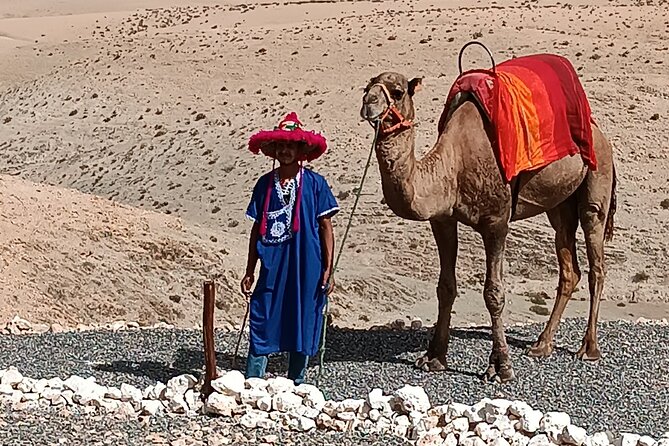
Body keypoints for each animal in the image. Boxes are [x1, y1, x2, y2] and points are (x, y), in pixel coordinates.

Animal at [359, 68, 617, 382]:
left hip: (597, 178)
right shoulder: (442, 220)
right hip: (559, 204)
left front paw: (500, 366)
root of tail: (601, 135)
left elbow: (494, 292)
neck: (454, 166)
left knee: (596, 262)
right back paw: (541, 345)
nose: (368, 104)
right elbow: (445, 287)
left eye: (397, 92)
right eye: (366, 89)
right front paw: (433, 358)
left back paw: (589, 348)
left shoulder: (496, 221)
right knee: (569, 265)